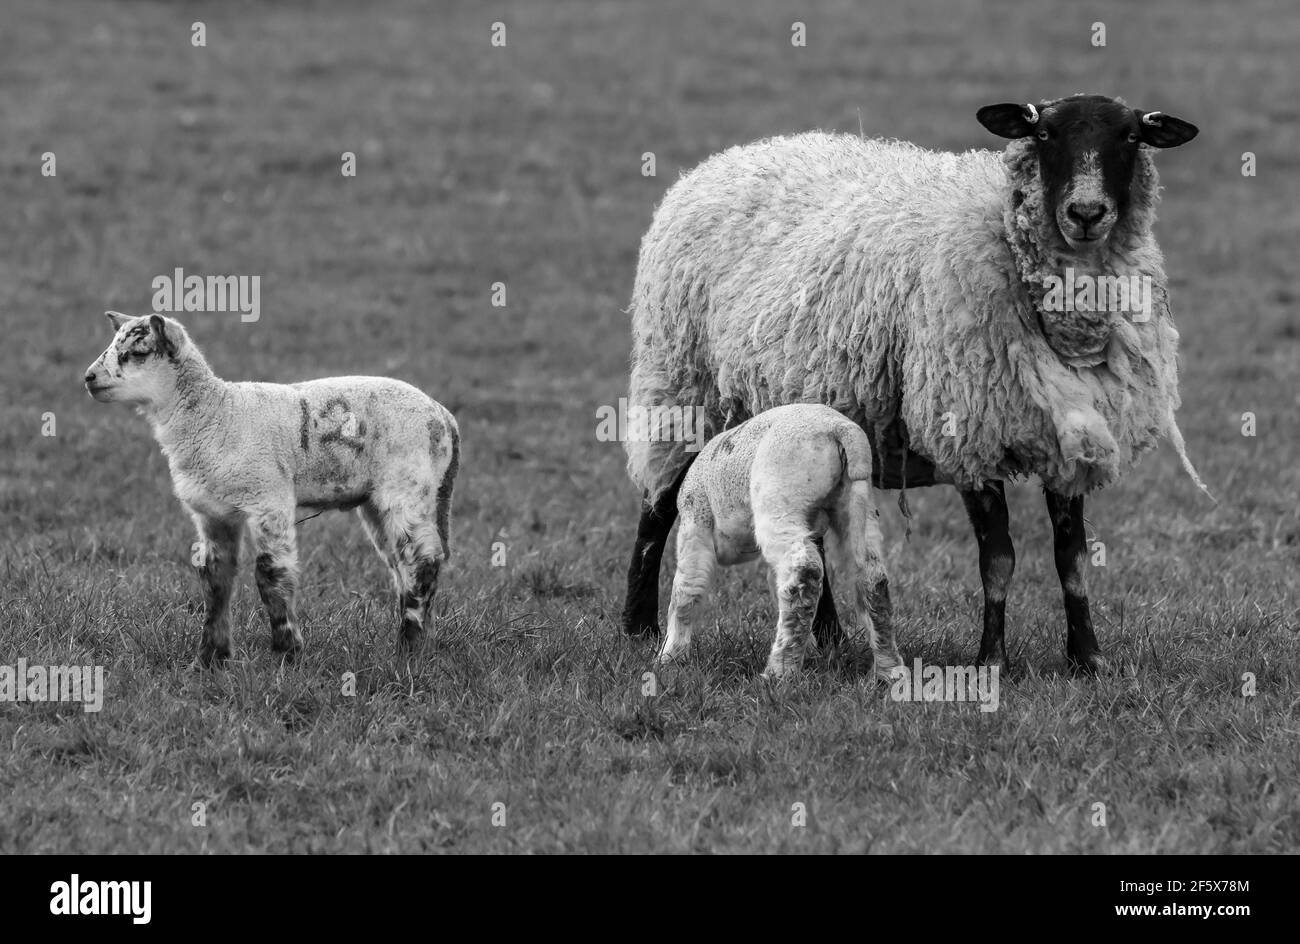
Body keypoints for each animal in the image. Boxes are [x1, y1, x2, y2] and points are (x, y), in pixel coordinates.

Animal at [83, 310, 460, 665]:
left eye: (137, 351)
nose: (88, 377)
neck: (217, 414)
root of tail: (444, 416)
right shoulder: (212, 513)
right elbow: (215, 580)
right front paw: (209, 659)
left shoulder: (268, 498)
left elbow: (271, 573)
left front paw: (287, 652)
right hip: (378, 501)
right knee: (402, 565)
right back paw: (422, 641)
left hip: (407, 486)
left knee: (421, 561)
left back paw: (408, 649)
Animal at [660, 405, 904, 681]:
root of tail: (841, 429)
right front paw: (811, 652)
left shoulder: (695, 523)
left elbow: (686, 589)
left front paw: (670, 658)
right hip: (856, 500)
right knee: (871, 576)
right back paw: (889, 669)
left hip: (779, 497)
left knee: (804, 571)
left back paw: (779, 671)